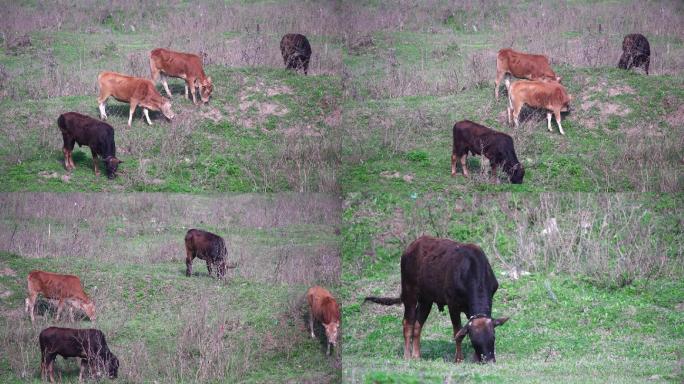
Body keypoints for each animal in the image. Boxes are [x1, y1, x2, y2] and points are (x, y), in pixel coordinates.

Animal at [364, 234, 508, 364]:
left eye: (493, 337)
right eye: (474, 339)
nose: (488, 360)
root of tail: (409, 248)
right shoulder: (452, 305)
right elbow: (457, 332)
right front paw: (459, 359)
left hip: (425, 300)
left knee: (417, 325)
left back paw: (417, 355)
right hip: (409, 295)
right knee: (408, 323)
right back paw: (407, 356)